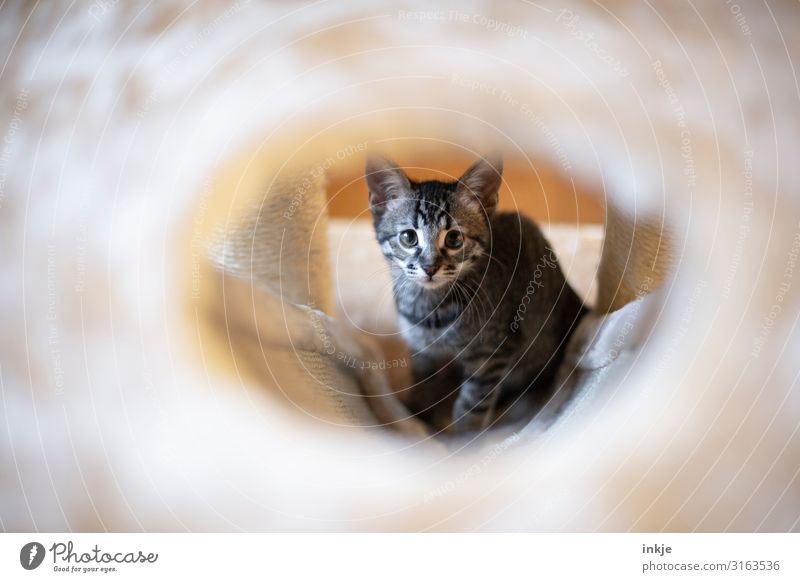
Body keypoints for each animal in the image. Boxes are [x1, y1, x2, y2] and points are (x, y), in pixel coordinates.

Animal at [366, 155, 584, 434]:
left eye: (454, 239)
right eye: (408, 237)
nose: (429, 267)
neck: (430, 309)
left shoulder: (493, 353)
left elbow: (473, 403)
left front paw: (464, 436)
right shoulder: (421, 350)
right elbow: (423, 385)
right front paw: (420, 418)